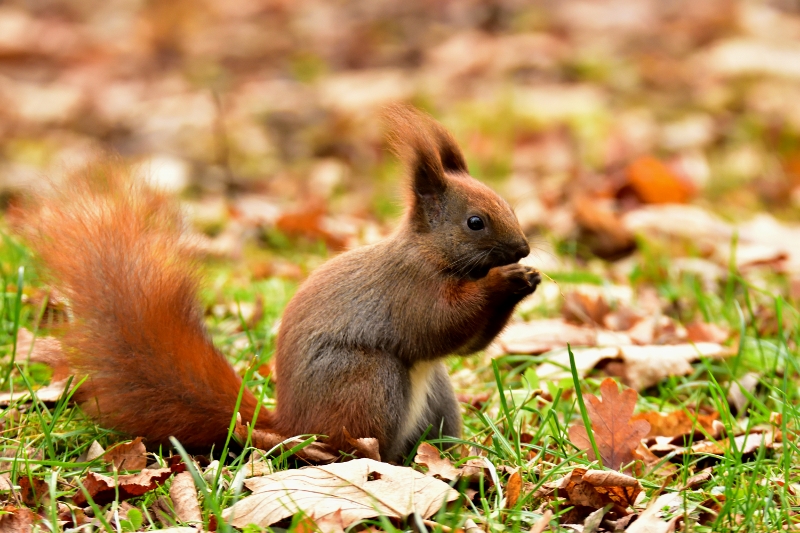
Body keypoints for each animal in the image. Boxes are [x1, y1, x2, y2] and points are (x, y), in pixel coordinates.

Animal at [21, 105, 540, 462]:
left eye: (506, 204)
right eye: (475, 222)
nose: (522, 249)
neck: (430, 253)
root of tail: (291, 425)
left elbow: (468, 343)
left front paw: (528, 279)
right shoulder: (409, 289)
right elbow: (442, 325)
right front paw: (506, 280)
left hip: (437, 397)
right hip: (369, 382)